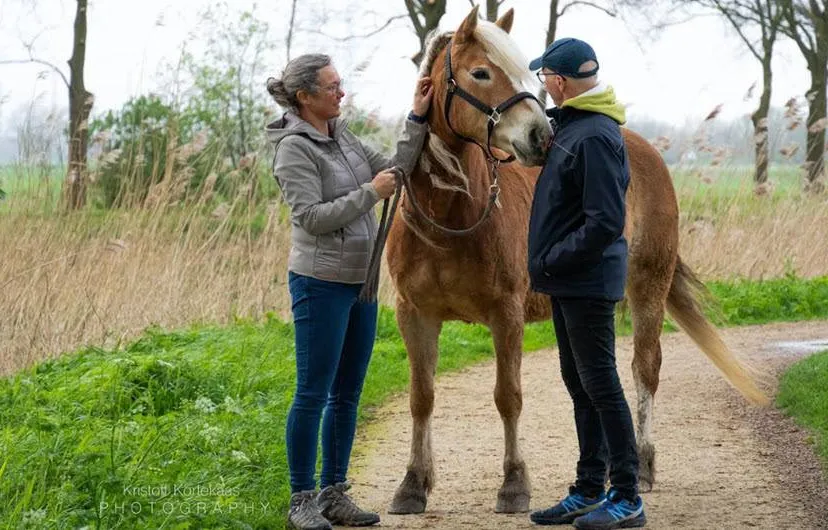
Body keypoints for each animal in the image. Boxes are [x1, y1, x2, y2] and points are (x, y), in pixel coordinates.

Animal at [384, 5, 767, 515]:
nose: (539, 136)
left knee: (644, 368)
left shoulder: (506, 314)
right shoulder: (415, 314)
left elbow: (508, 396)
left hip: (648, 287)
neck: (451, 216)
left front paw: (514, 484)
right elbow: (421, 397)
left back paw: (642, 465)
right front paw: (413, 484)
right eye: (480, 72)